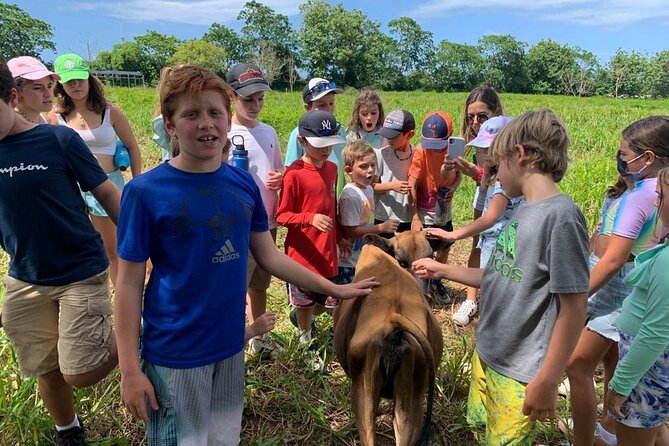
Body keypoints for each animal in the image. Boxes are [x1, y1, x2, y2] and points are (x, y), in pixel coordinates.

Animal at [334, 232, 444, 446]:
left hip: (364, 393)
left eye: (430, 257)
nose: (428, 296)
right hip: (411, 403)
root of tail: (394, 322)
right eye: (402, 261)